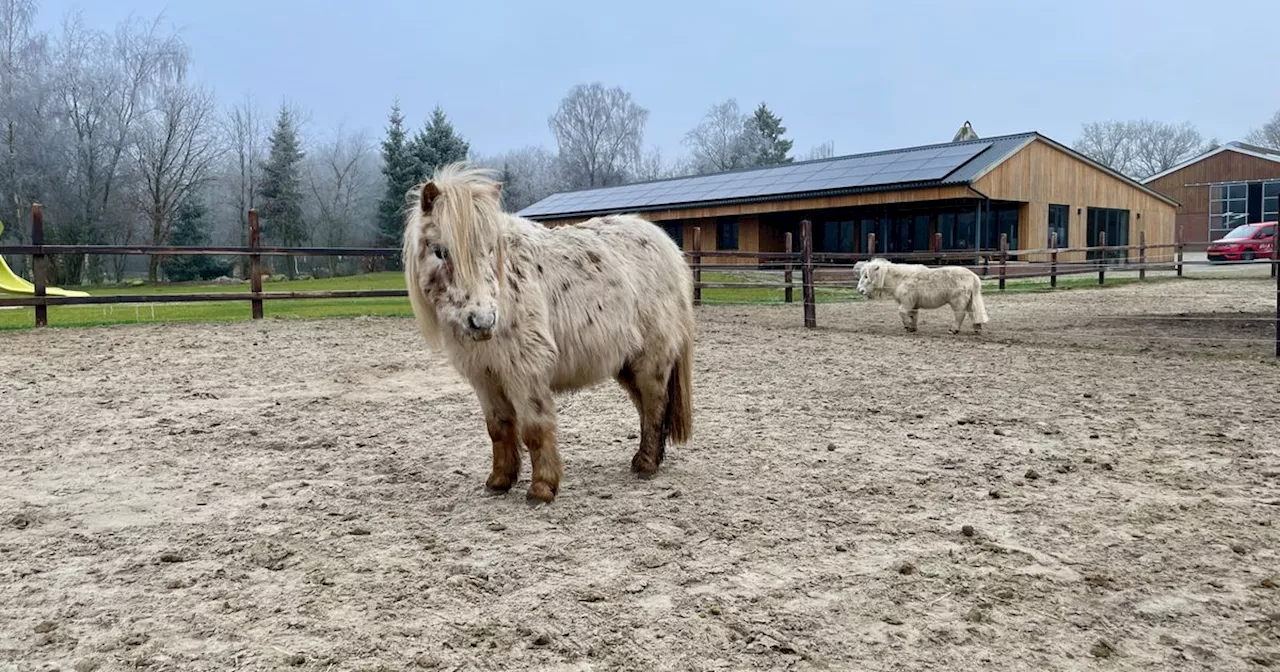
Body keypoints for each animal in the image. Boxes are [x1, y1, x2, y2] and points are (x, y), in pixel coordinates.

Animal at [404, 162, 696, 499]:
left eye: (490, 250)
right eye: (440, 252)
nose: (483, 321)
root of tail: (668, 247)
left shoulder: (525, 371)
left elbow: (534, 428)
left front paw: (542, 487)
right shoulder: (485, 376)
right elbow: (498, 428)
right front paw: (499, 480)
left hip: (651, 359)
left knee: (655, 404)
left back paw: (646, 464)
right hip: (626, 363)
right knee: (646, 408)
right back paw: (647, 459)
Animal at [860, 258, 988, 335]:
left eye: (866, 276)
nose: (860, 290)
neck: (902, 278)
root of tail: (973, 276)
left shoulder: (907, 302)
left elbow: (902, 312)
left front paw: (907, 326)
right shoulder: (913, 305)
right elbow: (913, 316)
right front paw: (912, 328)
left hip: (958, 302)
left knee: (960, 315)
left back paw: (954, 329)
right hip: (969, 302)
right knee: (973, 314)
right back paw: (977, 328)